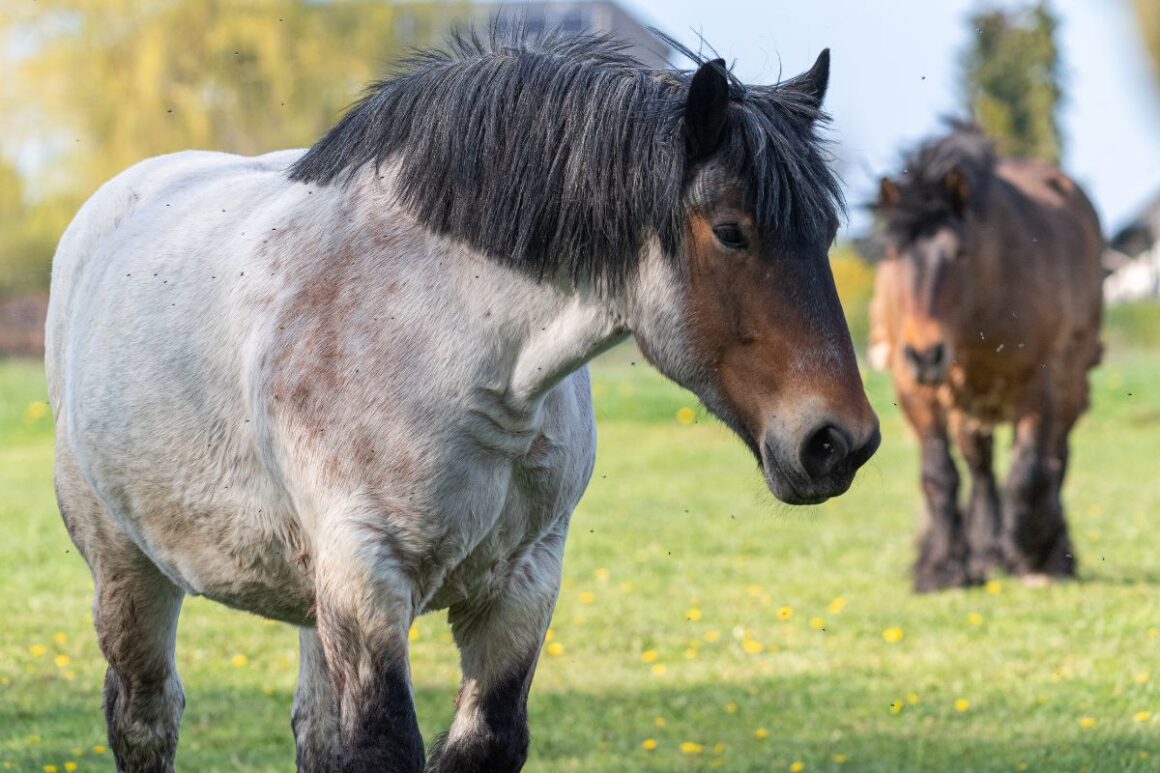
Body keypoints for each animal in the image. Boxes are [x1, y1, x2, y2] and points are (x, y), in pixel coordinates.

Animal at [45, 31, 876, 770]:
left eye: (828, 229)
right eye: (732, 231)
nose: (840, 440)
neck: (447, 347)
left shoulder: (523, 584)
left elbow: (482, 741)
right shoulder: (368, 578)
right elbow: (383, 747)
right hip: (128, 570)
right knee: (146, 716)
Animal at [872, 121, 1104, 589]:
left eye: (959, 253)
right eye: (894, 253)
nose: (925, 354)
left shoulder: (1038, 383)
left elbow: (1029, 472)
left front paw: (1031, 555)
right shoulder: (915, 390)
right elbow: (939, 475)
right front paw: (942, 568)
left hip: (1070, 385)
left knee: (1055, 459)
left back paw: (1046, 551)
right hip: (967, 401)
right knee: (980, 467)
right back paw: (982, 554)